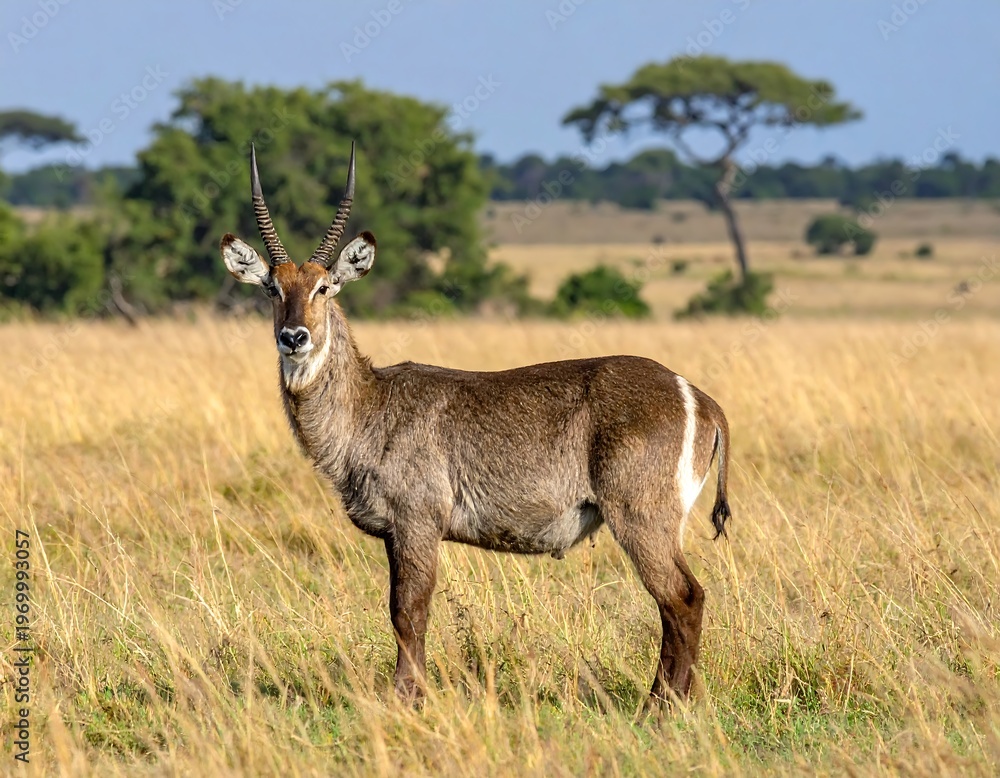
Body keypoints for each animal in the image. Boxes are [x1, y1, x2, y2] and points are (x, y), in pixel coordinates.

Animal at [219, 142, 733, 708]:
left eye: (325, 287)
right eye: (271, 288)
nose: (294, 337)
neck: (370, 406)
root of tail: (698, 396)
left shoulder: (418, 521)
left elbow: (409, 612)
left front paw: (408, 698)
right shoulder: (394, 533)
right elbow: (397, 611)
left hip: (641, 516)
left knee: (683, 598)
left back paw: (660, 707)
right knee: (679, 602)